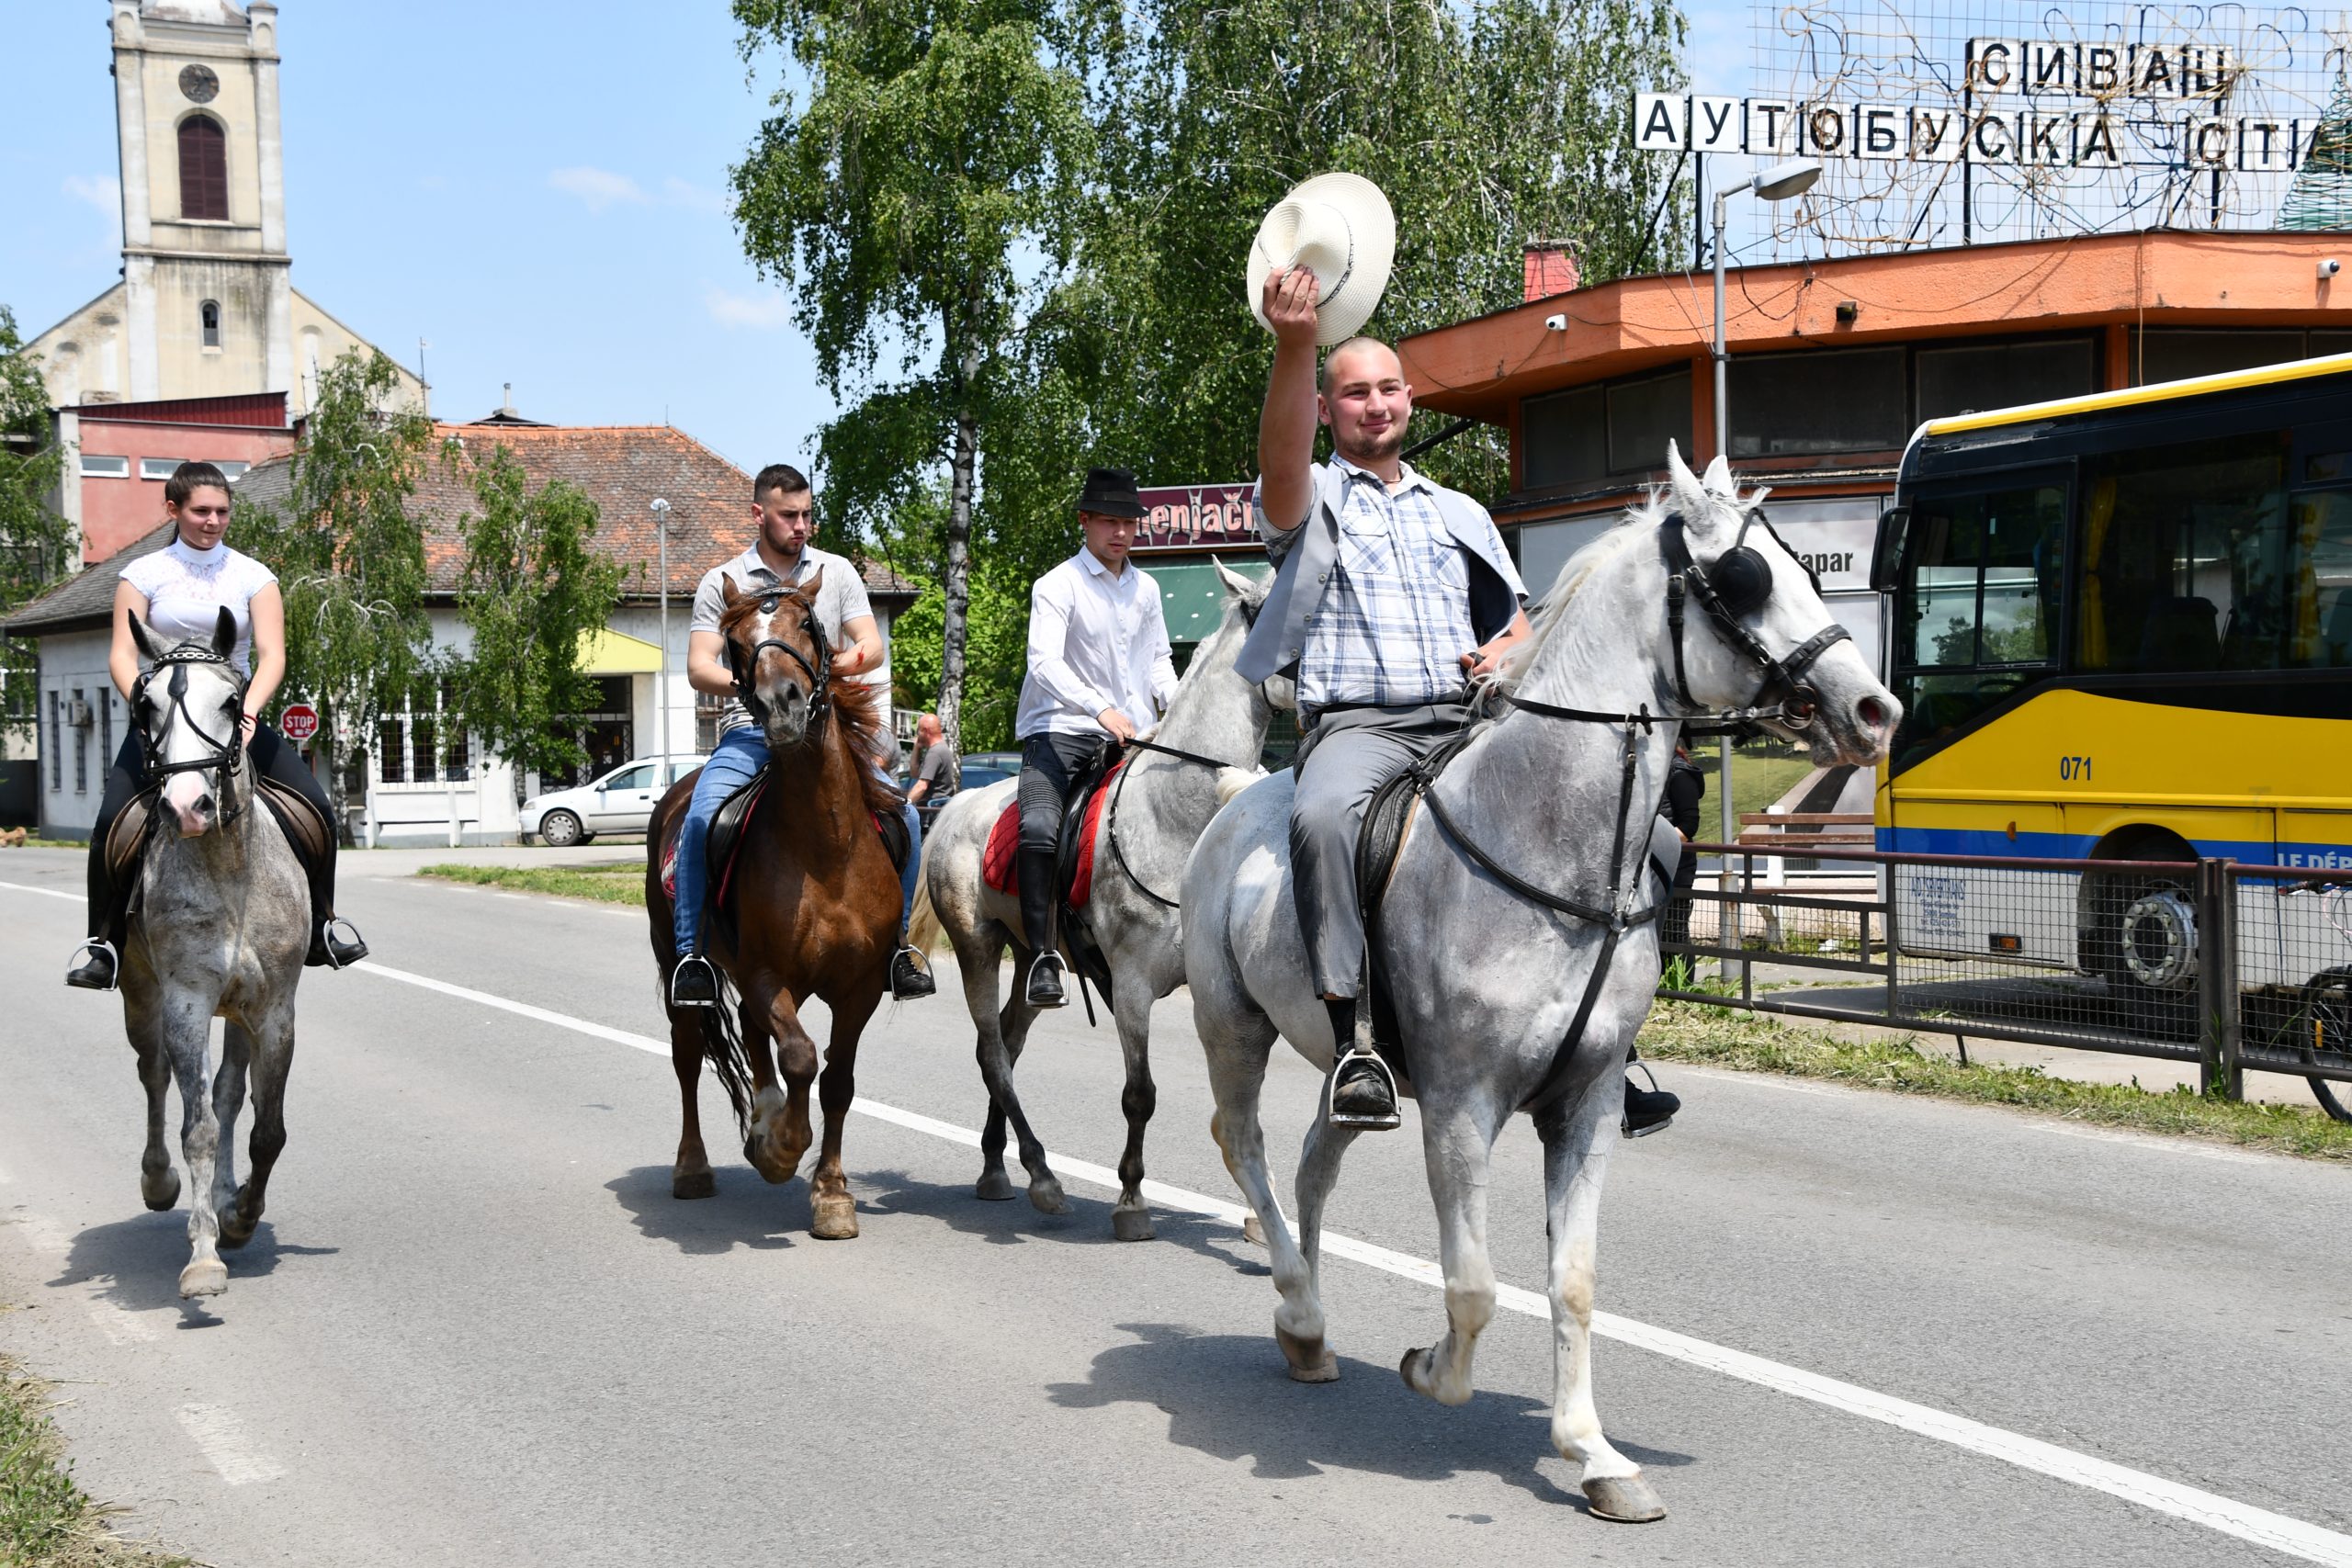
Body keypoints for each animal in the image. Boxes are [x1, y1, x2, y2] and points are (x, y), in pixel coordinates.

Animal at [119, 611, 310, 1297]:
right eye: (145, 705)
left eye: (231, 702)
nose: (187, 807)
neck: (229, 868)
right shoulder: (186, 1003)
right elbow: (196, 1125)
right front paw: (204, 1256)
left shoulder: (275, 1011)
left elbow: (266, 1128)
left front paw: (241, 1215)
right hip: (142, 996)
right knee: (153, 1075)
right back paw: (159, 1181)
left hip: (240, 1012)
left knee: (228, 1092)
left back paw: (227, 1198)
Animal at [639, 573, 903, 1241]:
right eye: (734, 644)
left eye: (806, 624)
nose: (780, 703)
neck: (824, 845)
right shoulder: (765, 973)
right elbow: (800, 1058)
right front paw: (783, 1145)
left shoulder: (860, 987)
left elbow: (836, 1080)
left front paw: (831, 1194)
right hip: (683, 966)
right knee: (689, 1057)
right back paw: (696, 1166)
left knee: (755, 1039)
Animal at [912, 564, 1288, 1241]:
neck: (1179, 817)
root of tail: (954, 808)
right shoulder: (1132, 986)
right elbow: (1140, 1094)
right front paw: (1132, 1200)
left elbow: (1242, 1100)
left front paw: (1260, 1209)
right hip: (978, 948)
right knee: (992, 1052)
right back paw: (1040, 1174)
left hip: (1029, 956)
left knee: (1008, 1041)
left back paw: (995, 1166)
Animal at [1185, 446, 1900, 1523]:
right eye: (1743, 579)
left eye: (1806, 570)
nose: (1875, 711)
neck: (1546, 845)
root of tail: (1239, 796)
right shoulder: (1460, 1106)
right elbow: (1474, 1285)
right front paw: (1431, 1368)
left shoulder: (1587, 1103)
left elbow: (1573, 1280)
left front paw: (1595, 1455)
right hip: (1233, 1030)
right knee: (1250, 1149)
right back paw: (1300, 1305)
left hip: (1347, 1068)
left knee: (1313, 1162)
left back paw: (1307, 1328)